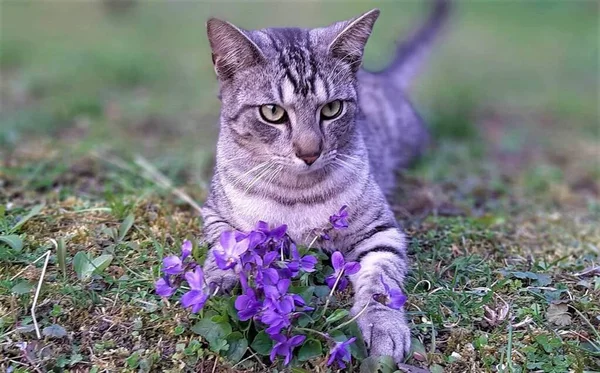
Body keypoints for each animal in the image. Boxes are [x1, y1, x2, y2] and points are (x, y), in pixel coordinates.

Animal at [202, 0, 450, 362]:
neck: (295, 192)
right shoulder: (212, 211)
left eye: (332, 109)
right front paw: (219, 272)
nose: (309, 152)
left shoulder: (381, 230)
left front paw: (383, 325)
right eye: (272, 113)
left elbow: (381, 281)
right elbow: (230, 239)